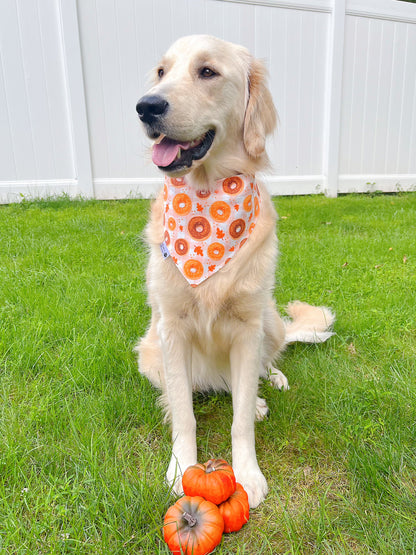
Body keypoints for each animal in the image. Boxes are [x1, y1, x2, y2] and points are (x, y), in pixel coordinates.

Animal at [136, 35, 334, 508]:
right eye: (161, 72)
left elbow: (240, 417)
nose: (146, 106)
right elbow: (185, 415)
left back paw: (269, 385)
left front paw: (248, 474)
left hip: (269, 320)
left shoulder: (247, 327)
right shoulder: (171, 329)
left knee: (264, 364)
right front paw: (180, 468)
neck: (208, 203)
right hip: (148, 352)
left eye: (207, 71)